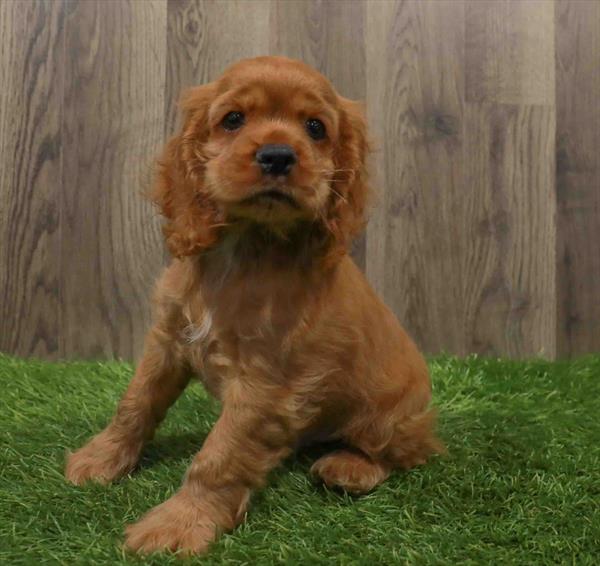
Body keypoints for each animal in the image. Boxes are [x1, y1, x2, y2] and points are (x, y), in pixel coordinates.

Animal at [65, 55, 442, 556]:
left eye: (316, 127)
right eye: (233, 119)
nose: (278, 155)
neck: (246, 249)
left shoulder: (267, 382)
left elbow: (220, 453)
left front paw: (181, 523)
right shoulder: (168, 340)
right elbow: (136, 402)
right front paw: (101, 458)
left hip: (389, 415)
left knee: (407, 452)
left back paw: (350, 467)